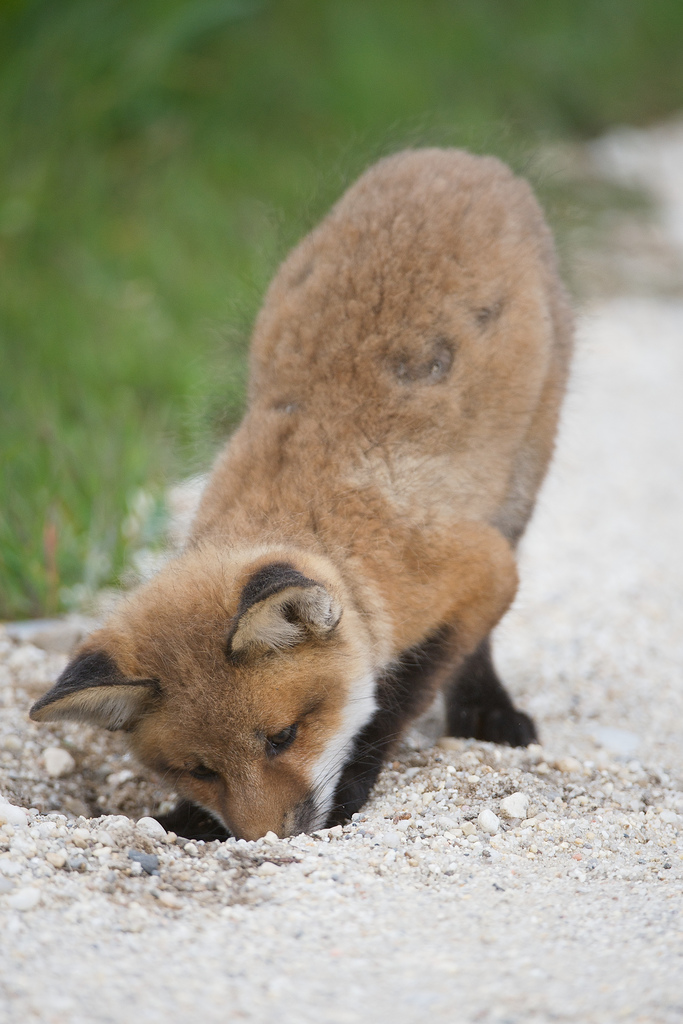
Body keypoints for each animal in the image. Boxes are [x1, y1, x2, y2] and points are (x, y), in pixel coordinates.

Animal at [30, 148, 573, 841]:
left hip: (521, 481)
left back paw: (488, 711)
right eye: (200, 769)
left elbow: (397, 693)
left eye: (282, 737)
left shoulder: (476, 568)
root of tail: (451, 157)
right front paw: (186, 817)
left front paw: (353, 786)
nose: (266, 838)